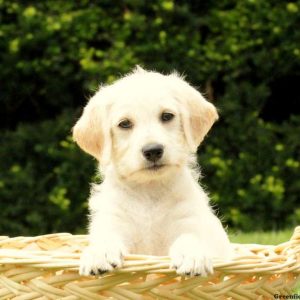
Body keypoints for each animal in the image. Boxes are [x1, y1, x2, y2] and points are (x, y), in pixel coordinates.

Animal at [72, 67, 232, 278]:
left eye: (167, 116)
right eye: (124, 123)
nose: (153, 150)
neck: (149, 191)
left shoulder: (190, 221)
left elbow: (189, 237)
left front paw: (192, 256)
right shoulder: (113, 221)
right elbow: (107, 238)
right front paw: (99, 253)